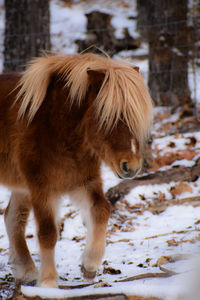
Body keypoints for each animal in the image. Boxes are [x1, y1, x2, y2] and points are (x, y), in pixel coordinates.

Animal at [0, 52, 152, 288]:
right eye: (108, 116)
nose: (132, 166)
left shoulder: (84, 181)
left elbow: (101, 210)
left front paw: (89, 265)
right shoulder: (41, 188)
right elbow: (48, 233)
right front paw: (48, 283)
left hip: (21, 188)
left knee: (12, 219)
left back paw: (27, 271)